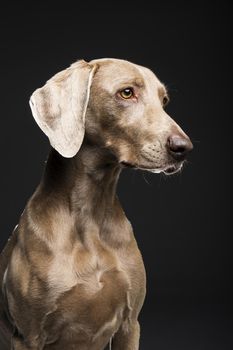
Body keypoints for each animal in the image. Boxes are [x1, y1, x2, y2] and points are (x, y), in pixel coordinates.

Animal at [0, 58, 193, 348]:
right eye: (127, 92)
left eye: (164, 100)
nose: (184, 148)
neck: (90, 210)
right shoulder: (26, 335)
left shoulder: (129, 325)